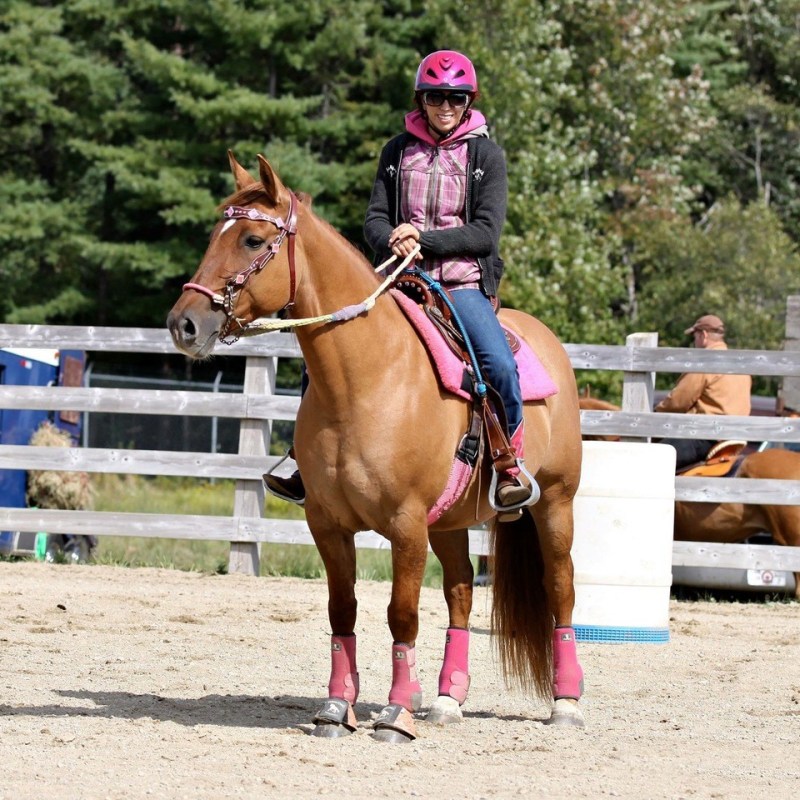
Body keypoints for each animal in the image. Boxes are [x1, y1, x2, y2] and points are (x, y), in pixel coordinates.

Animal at [168, 152, 586, 740]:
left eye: (252, 239)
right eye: (214, 235)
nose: (183, 323)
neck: (366, 380)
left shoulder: (406, 526)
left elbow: (401, 614)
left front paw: (395, 712)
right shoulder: (328, 524)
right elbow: (342, 610)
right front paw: (335, 708)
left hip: (554, 502)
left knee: (561, 588)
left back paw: (565, 702)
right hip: (451, 521)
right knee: (461, 591)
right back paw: (447, 700)